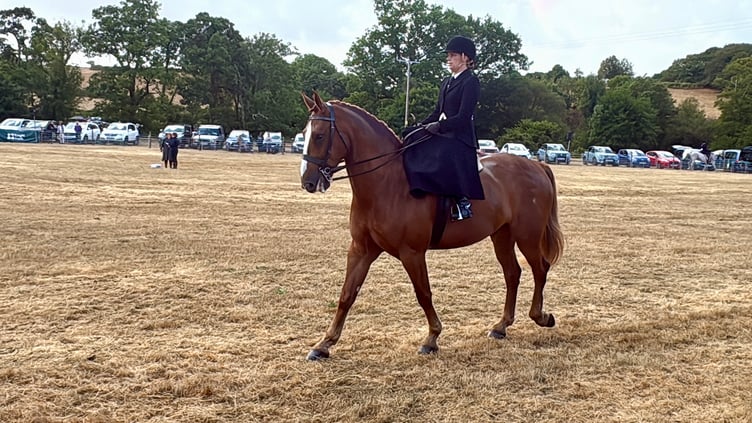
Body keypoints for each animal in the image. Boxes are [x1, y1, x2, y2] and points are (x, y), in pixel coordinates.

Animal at [299, 92, 564, 360]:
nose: (308, 181)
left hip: (527, 235)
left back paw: (540, 317)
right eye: (306, 133)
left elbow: (423, 293)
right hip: (502, 236)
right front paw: (324, 344)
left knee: (540, 269)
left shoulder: (412, 253)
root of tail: (537, 166)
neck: (388, 183)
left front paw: (432, 338)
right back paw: (501, 326)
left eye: (319, 135)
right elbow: (347, 295)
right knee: (513, 273)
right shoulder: (361, 250)